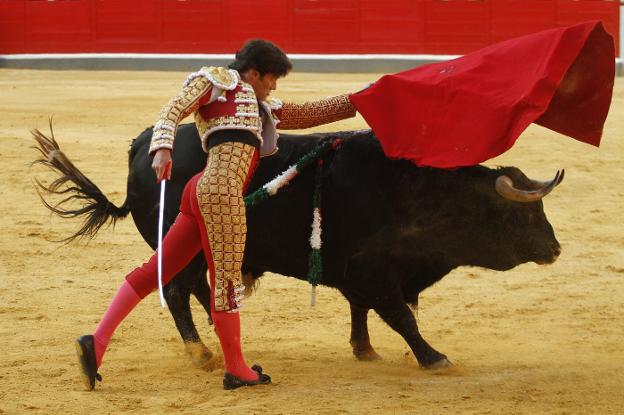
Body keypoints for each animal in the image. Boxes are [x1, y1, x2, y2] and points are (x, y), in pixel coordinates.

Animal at [31, 124, 564, 370]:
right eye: (522, 213)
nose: (556, 249)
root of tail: (144, 147)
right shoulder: (373, 271)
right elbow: (400, 317)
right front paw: (434, 358)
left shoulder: (357, 274)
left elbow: (361, 312)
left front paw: (365, 351)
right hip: (180, 246)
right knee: (179, 292)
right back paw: (201, 352)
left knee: (199, 290)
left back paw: (221, 337)